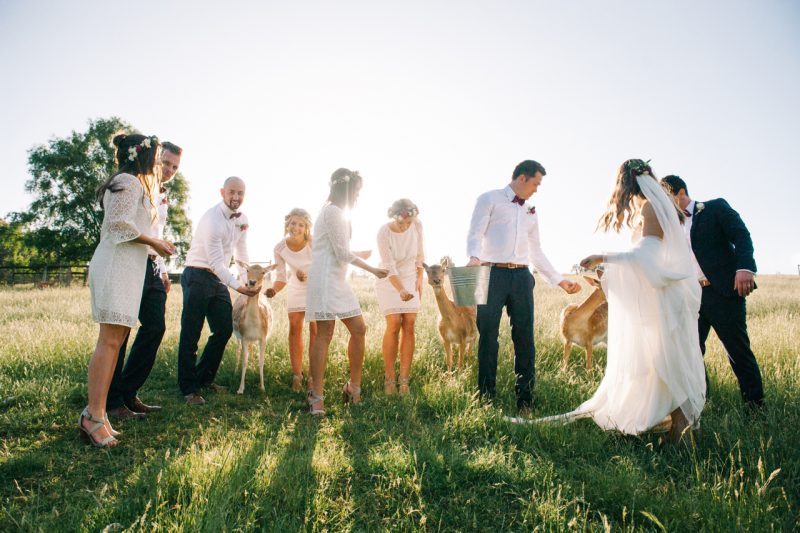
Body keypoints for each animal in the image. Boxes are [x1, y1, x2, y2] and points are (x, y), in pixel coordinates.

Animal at [231, 260, 278, 392]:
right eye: (247, 270)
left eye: (263, 272)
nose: (251, 282)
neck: (252, 325)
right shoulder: (244, 337)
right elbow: (244, 361)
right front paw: (240, 389)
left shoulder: (263, 337)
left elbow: (261, 362)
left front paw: (262, 387)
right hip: (237, 336)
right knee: (238, 351)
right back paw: (235, 371)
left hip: (254, 339)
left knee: (252, 351)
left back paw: (252, 370)